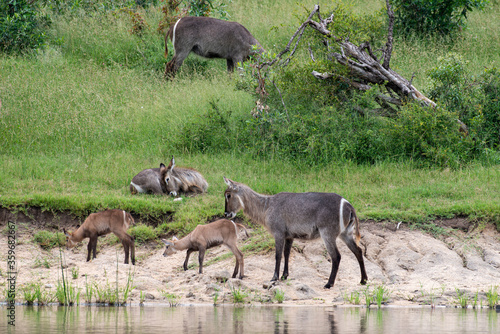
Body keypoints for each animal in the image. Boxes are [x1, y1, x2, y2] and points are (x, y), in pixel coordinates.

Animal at [223, 177, 368, 290]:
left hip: (328, 233)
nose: (226, 214)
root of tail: (348, 205)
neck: (266, 206)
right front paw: (284, 276)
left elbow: (278, 255)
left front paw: (274, 277)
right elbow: (287, 254)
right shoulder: (289, 236)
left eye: (228, 195)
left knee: (336, 256)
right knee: (358, 251)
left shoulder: (278, 233)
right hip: (346, 233)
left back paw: (329, 284)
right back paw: (363, 280)